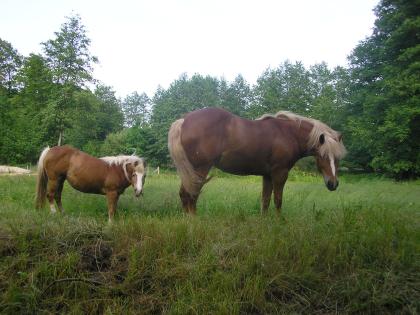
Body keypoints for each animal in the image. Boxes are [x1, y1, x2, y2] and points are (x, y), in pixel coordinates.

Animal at [169, 108, 346, 215]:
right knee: (191, 195)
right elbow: (278, 200)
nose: (333, 184)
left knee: (184, 194)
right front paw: (279, 223)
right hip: (199, 169)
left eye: (337, 158)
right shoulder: (280, 173)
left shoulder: (267, 175)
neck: (288, 133)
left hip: (190, 171)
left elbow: (265, 201)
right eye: (323, 155)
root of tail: (183, 120)